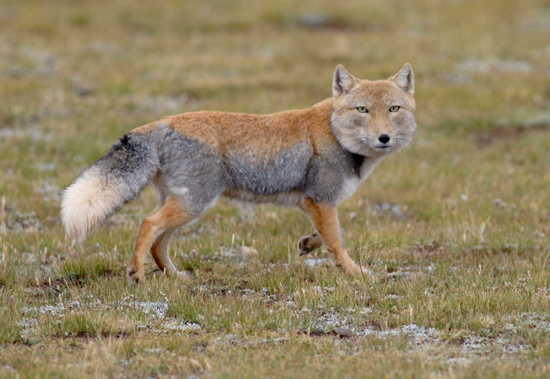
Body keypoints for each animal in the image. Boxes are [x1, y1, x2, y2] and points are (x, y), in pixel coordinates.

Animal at [60, 63, 416, 282]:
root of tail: (163, 122)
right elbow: (338, 243)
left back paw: (175, 276)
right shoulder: (321, 200)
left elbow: (326, 236)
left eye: (393, 109)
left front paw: (308, 244)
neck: (335, 132)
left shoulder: (315, 203)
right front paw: (357, 273)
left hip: (187, 207)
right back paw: (137, 273)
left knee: (158, 243)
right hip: (193, 204)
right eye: (363, 110)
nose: (384, 137)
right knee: (148, 226)